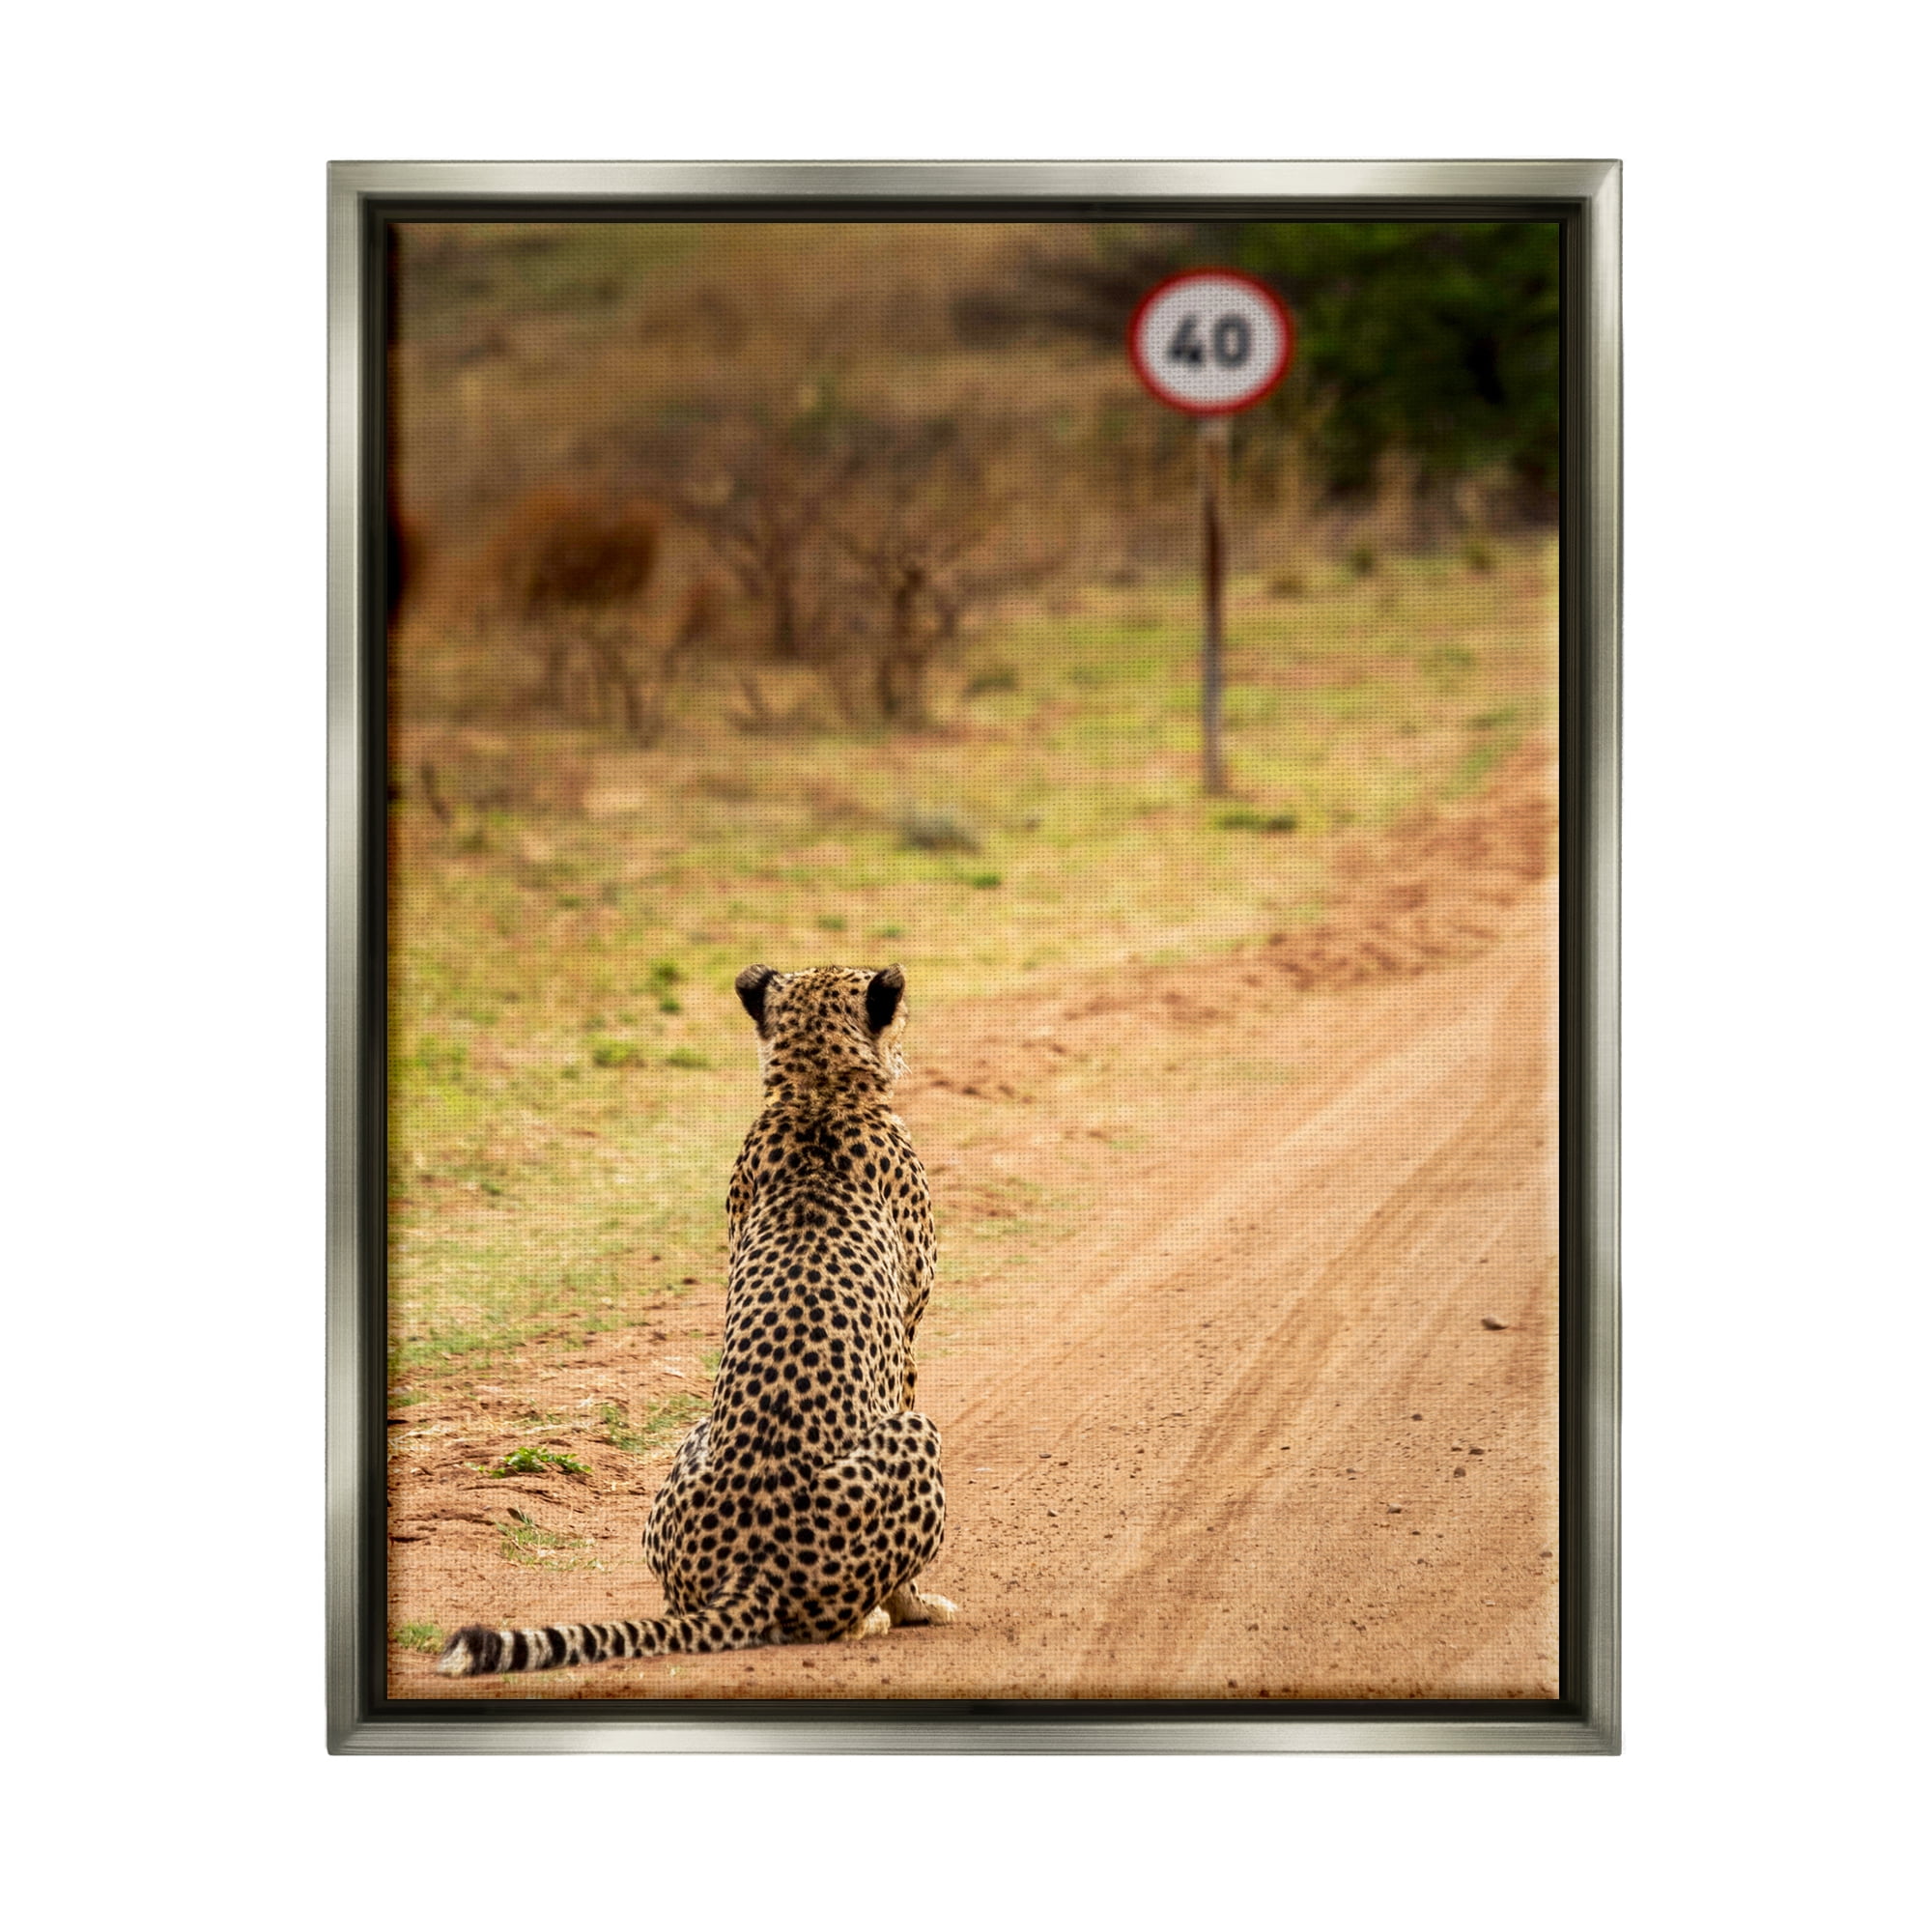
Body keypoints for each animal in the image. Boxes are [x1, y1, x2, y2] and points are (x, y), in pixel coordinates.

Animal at [438, 963, 959, 1677]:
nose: (906, 1050)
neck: (815, 1095)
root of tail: (749, 1572)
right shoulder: (907, 1337)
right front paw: (917, 1606)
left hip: (691, 1444)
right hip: (916, 1433)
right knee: (831, 1618)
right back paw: (874, 1618)